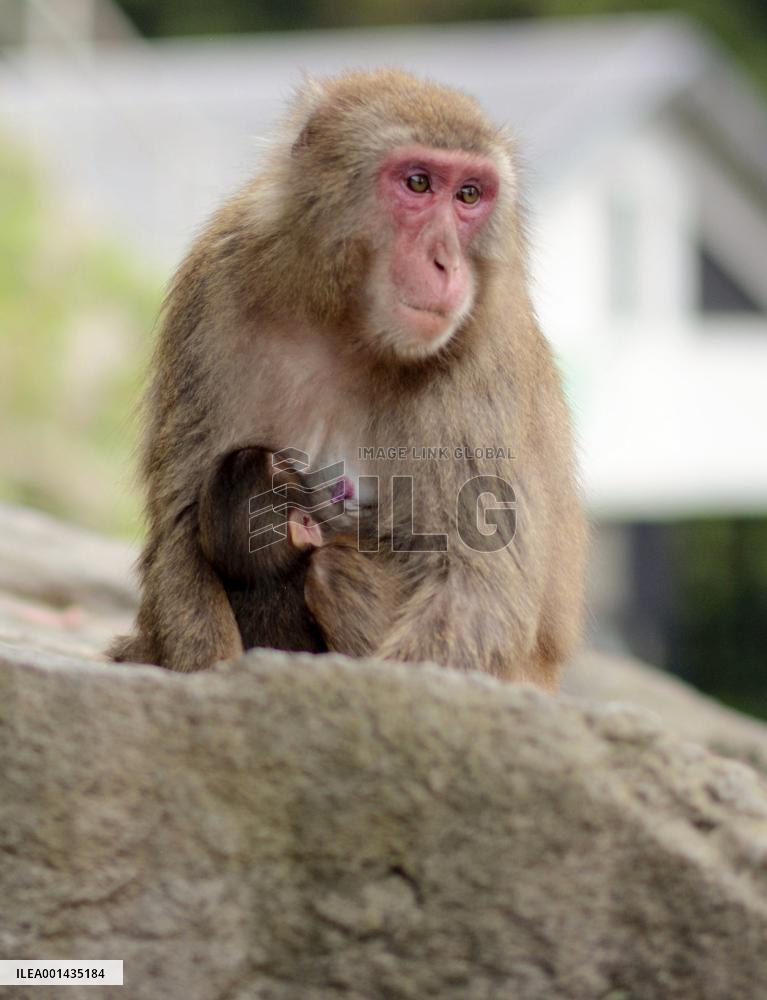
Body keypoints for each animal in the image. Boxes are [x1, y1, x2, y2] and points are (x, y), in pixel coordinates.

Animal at [108, 68, 587, 690]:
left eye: (468, 195)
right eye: (417, 182)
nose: (445, 262)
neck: (348, 325)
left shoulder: (481, 364)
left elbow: (478, 592)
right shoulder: (215, 281)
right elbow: (182, 524)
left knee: (334, 571)